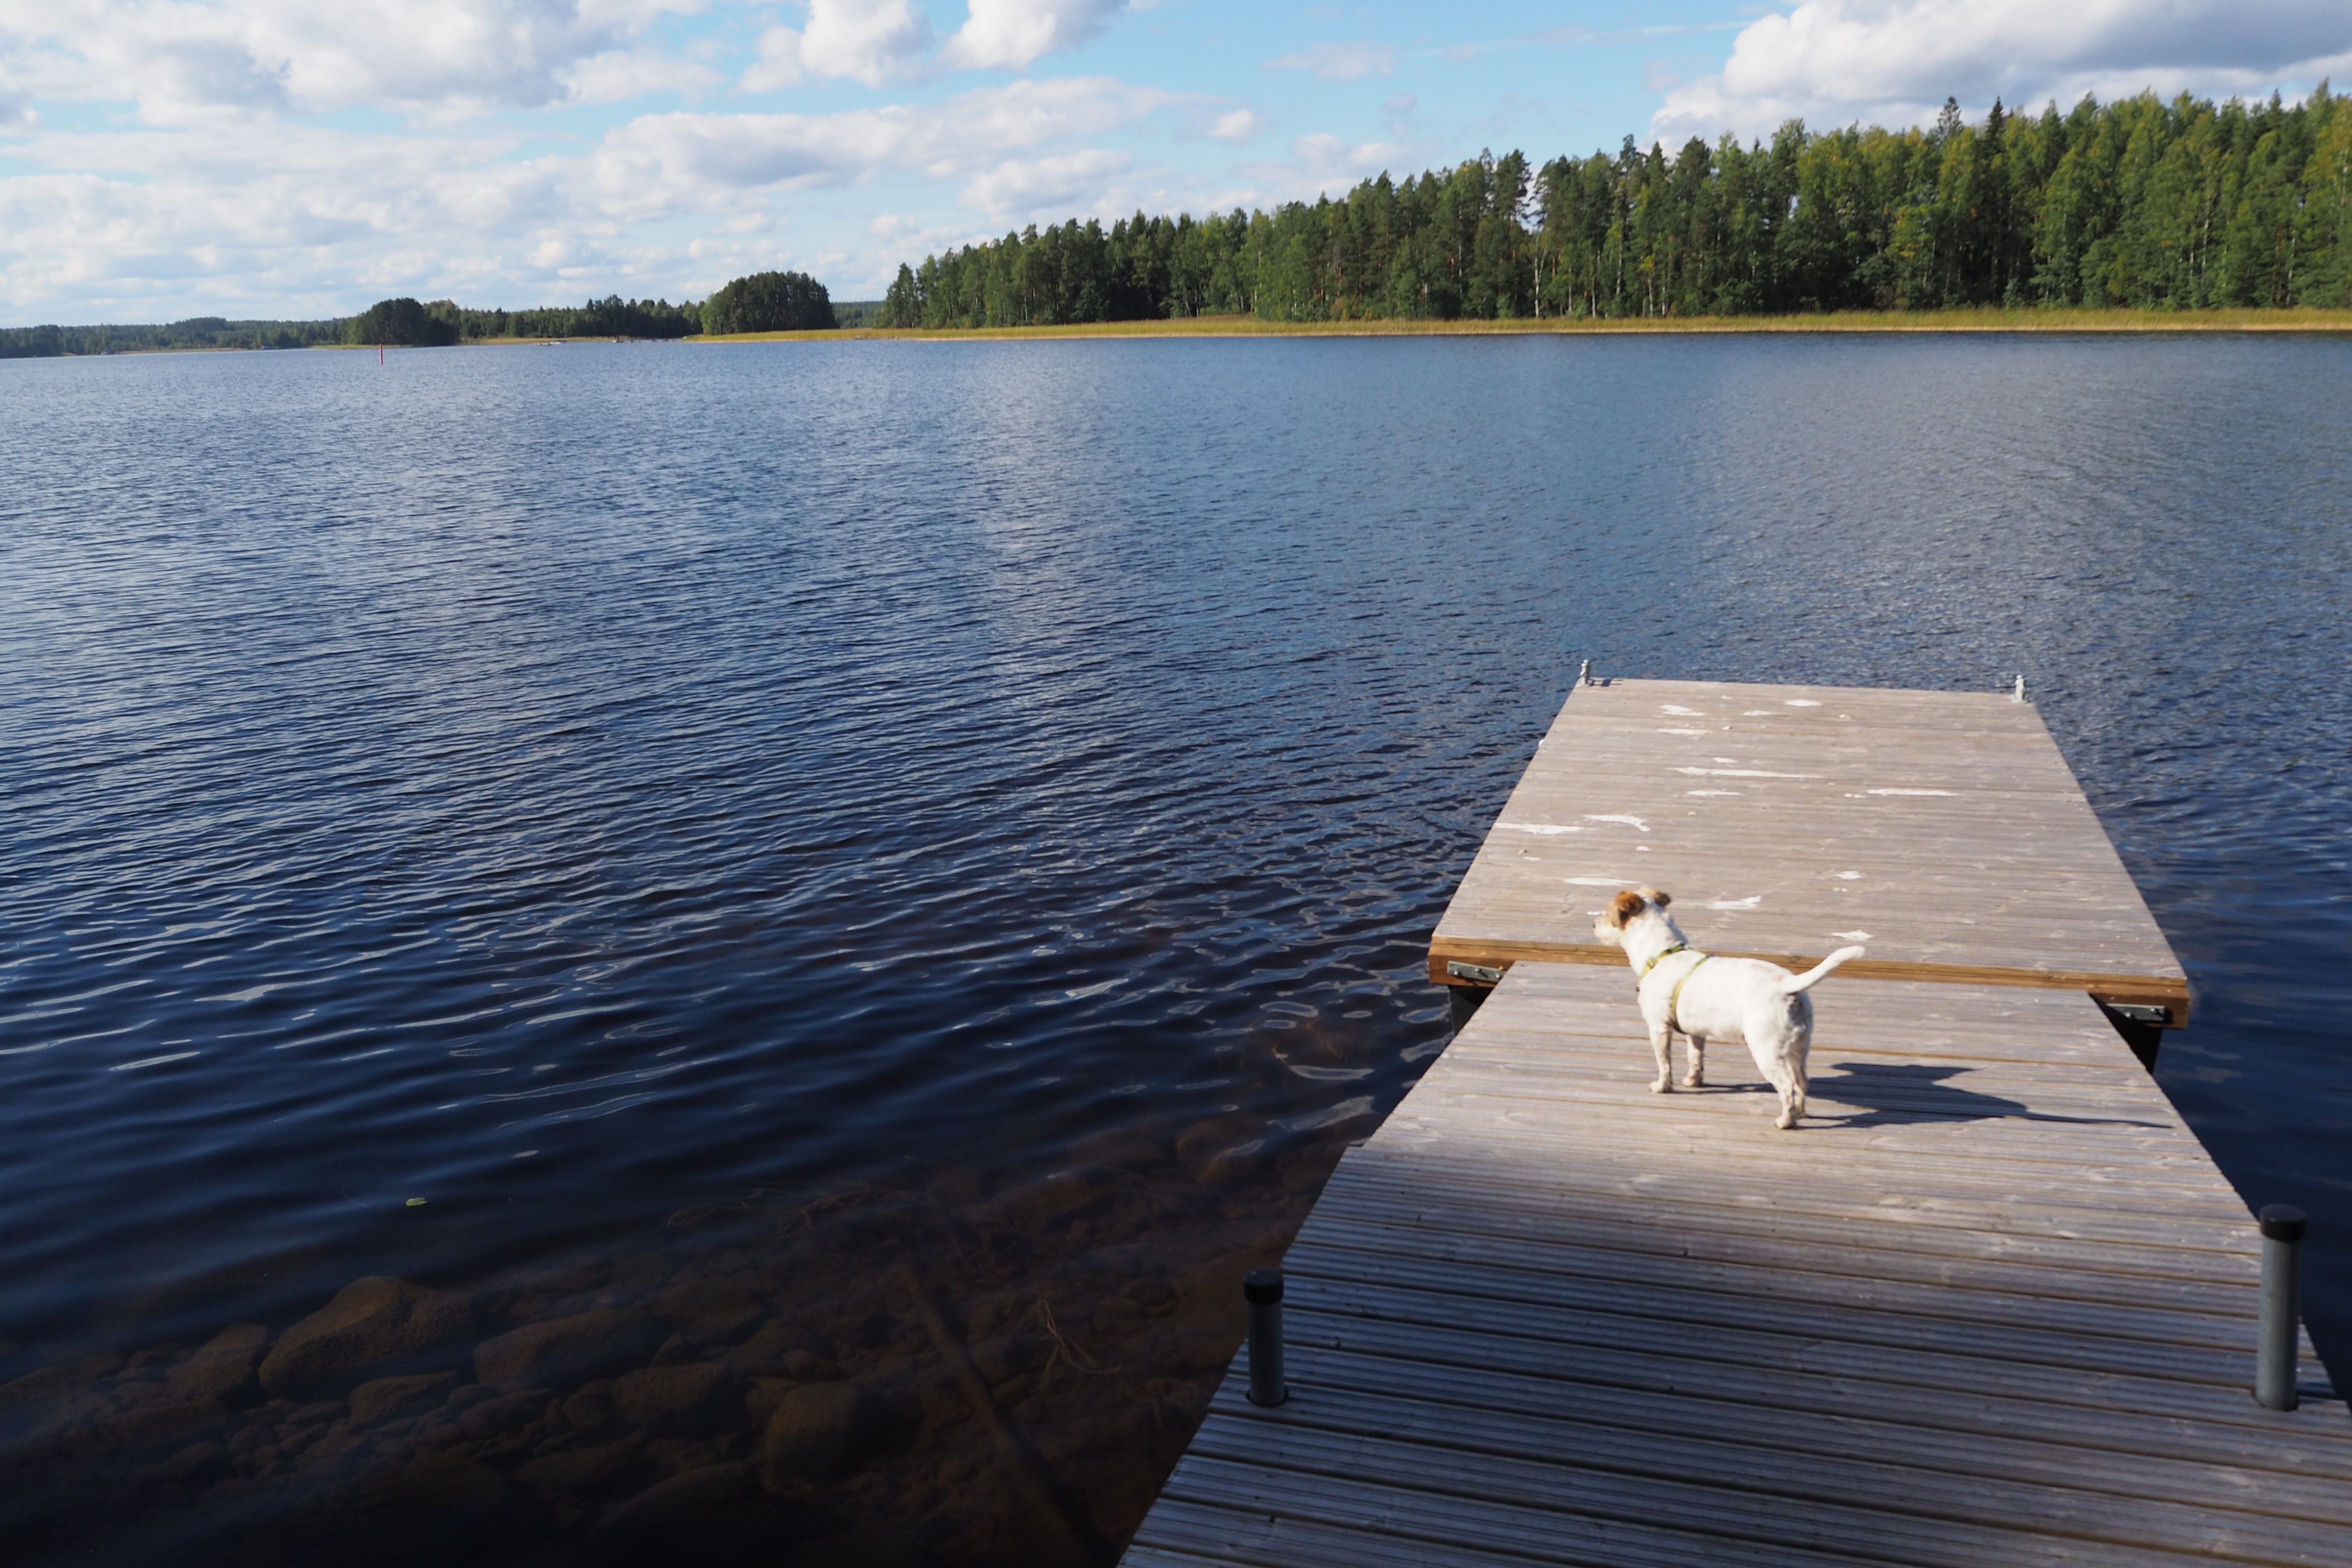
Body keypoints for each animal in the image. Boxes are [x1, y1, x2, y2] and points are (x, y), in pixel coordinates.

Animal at [1590, 884, 1863, 1128]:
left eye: (1608, 914)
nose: (1592, 924)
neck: (1663, 954)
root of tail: (1788, 984)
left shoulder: (1658, 1028)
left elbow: (1664, 1063)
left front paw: (1662, 1087)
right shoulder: (1696, 1033)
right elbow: (1695, 1059)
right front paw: (1693, 1081)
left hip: (1766, 1051)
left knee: (1787, 1087)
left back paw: (1785, 1121)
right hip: (1799, 1049)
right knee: (1801, 1082)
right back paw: (1800, 1114)